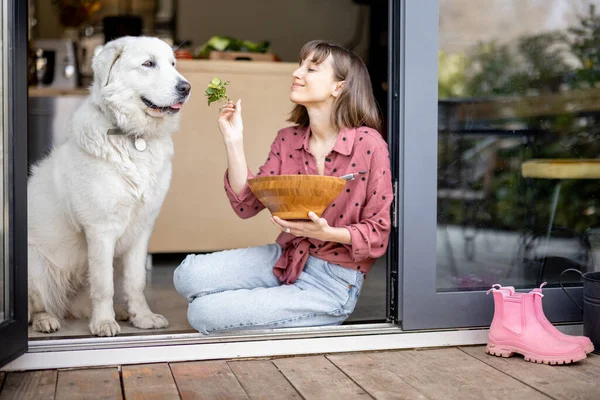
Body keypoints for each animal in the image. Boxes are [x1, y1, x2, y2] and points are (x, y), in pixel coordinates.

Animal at [28, 37, 191, 336]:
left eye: (173, 64)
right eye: (148, 63)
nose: (186, 87)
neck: (134, 137)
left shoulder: (141, 230)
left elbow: (136, 282)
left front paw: (142, 317)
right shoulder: (101, 230)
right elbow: (103, 285)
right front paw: (104, 322)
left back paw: (122, 312)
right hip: (36, 264)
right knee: (37, 304)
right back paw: (46, 319)